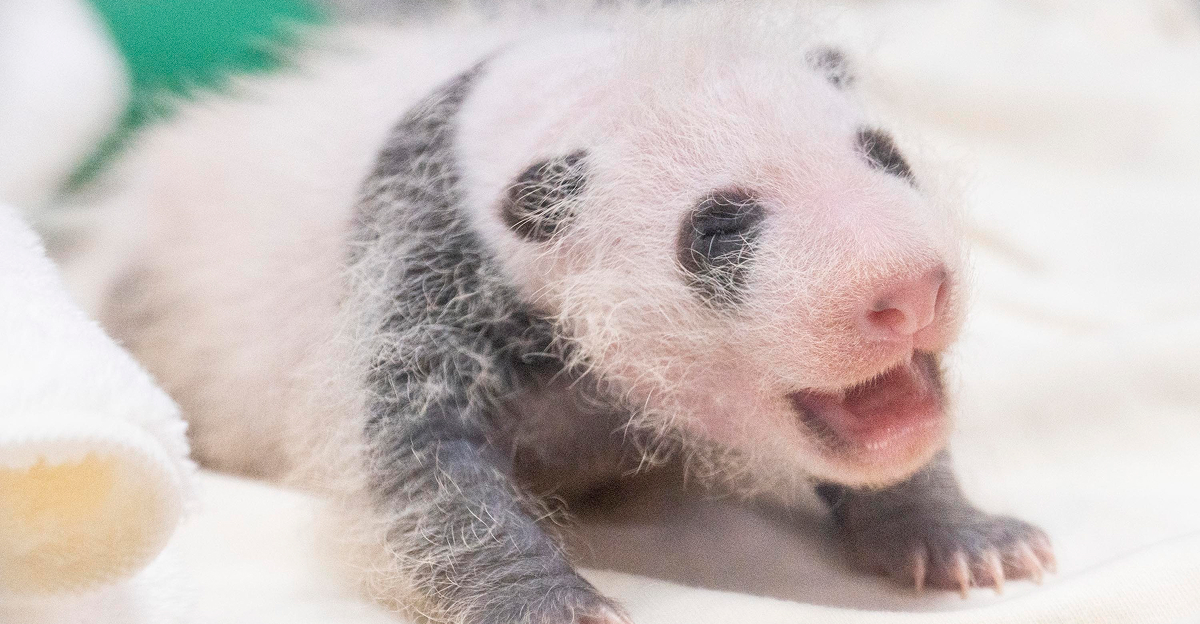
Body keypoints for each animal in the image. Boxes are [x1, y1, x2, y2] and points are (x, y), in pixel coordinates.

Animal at [64, 4, 1055, 623]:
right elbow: (413, 460)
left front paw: (963, 540)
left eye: (886, 156)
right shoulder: (425, 258)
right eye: (719, 230)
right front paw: (549, 603)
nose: (910, 290)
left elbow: (906, 439)